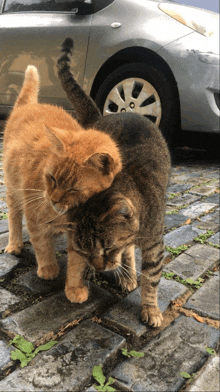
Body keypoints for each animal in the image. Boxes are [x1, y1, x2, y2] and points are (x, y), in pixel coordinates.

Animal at [3, 66, 121, 300]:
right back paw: (15, 243)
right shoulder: (34, 216)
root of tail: (30, 104)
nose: (53, 199)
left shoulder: (80, 233)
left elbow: (77, 262)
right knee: (14, 216)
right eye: (52, 178)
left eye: (74, 188)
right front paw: (48, 268)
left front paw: (74, 288)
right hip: (13, 189)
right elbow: (42, 245)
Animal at [56, 37, 170, 328]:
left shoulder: (155, 244)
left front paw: (151, 309)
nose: (98, 268)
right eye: (85, 252)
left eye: (107, 248)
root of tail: (104, 115)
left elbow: (152, 281)